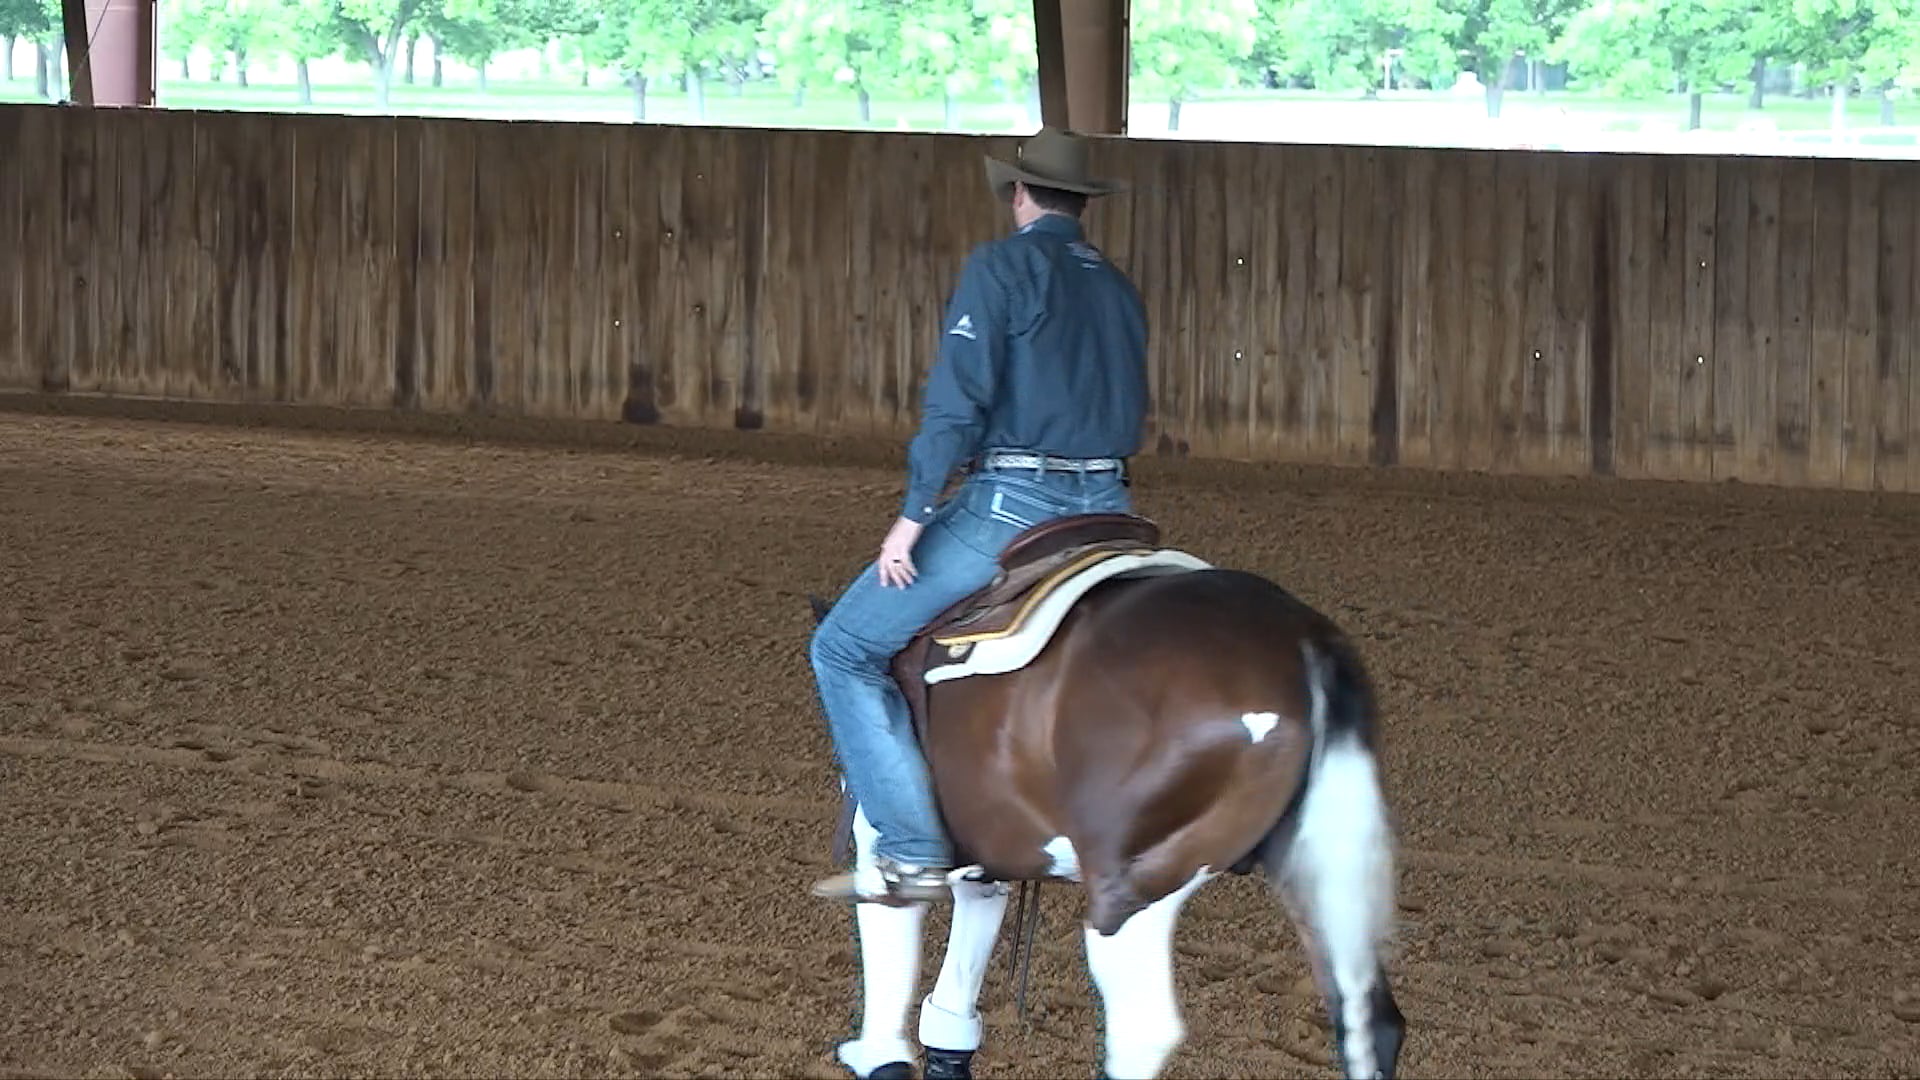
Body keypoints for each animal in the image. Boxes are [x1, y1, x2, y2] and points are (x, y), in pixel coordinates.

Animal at [804, 512, 1406, 1080]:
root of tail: (1304, 640)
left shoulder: (883, 840)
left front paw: (878, 1056)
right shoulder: (985, 859)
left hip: (1135, 887)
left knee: (1142, 1031)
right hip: (1315, 872)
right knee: (1369, 1021)